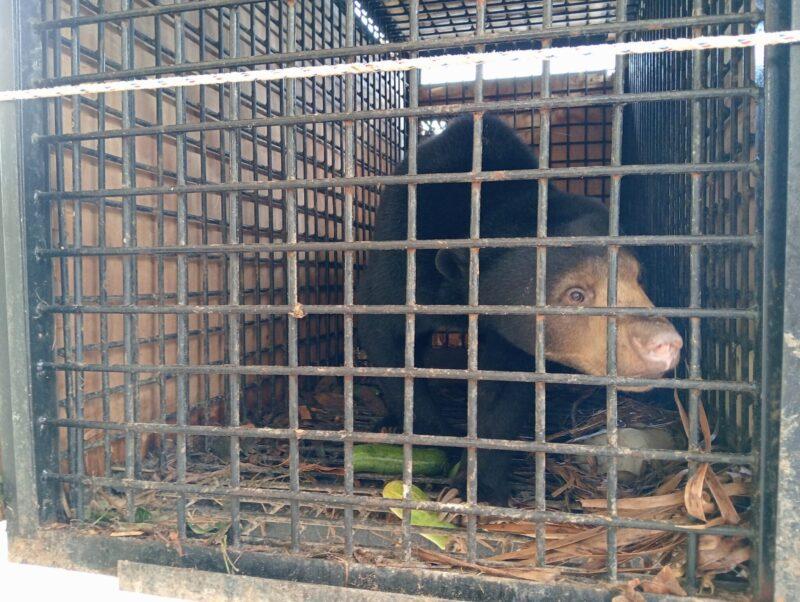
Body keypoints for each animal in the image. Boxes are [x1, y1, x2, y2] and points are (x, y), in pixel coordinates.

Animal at [356, 113, 680, 502]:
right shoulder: (403, 252)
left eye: (639, 278)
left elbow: (506, 392)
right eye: (575, 295)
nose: (665, 344)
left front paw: (475, 488)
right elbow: (385, 340)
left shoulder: (511, 335)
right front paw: (440, 443)